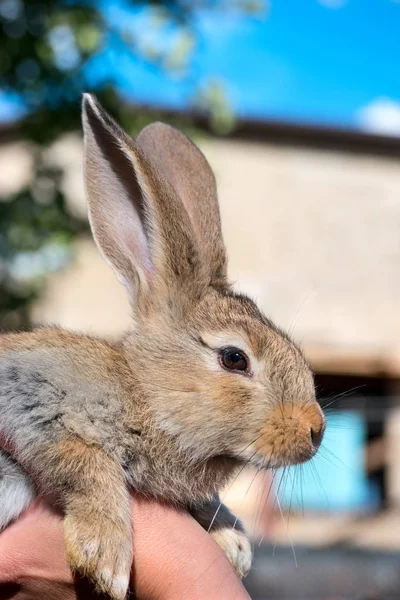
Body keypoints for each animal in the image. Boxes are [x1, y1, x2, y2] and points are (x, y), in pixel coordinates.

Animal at [0, 95, 324, 600]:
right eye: (234, 358)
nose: (316, 430)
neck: (146, 396)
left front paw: (233, 541)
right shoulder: (31, 402)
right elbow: (83, 460)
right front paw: (104, 557)